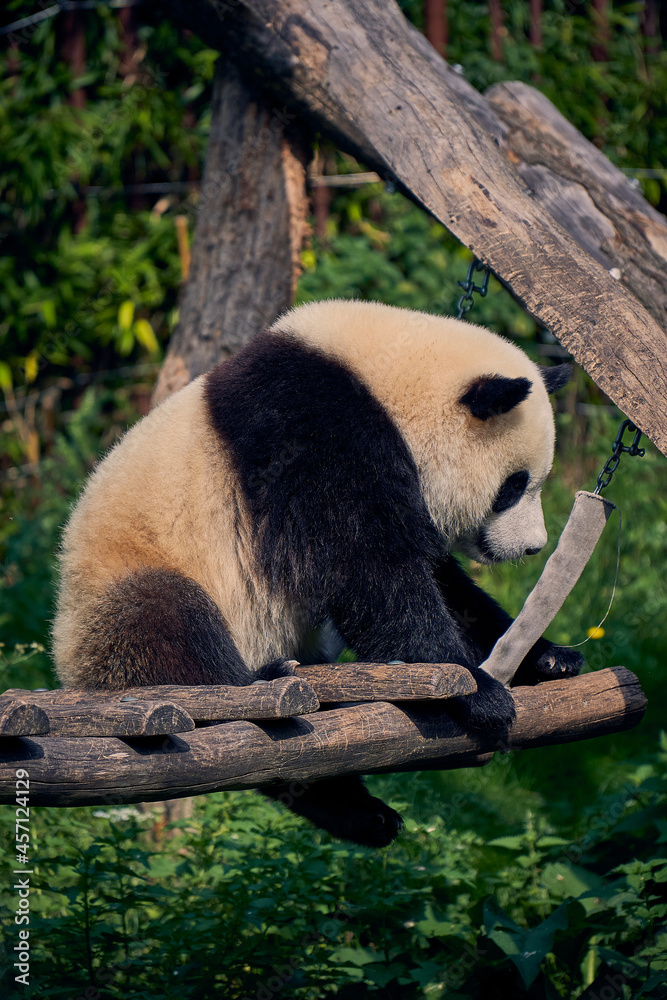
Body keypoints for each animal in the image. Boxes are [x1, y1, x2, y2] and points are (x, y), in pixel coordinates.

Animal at [53, 299, 583, 847]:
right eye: (515, 485)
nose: (533, 546)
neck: (383, 377)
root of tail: (73, 673)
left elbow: (441, 582)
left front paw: (549, 658)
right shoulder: (309, 427)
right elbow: (366, 567)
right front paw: (478, 692)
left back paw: (364, 815)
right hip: (125, 597)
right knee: (169, 626)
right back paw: (265, 681)